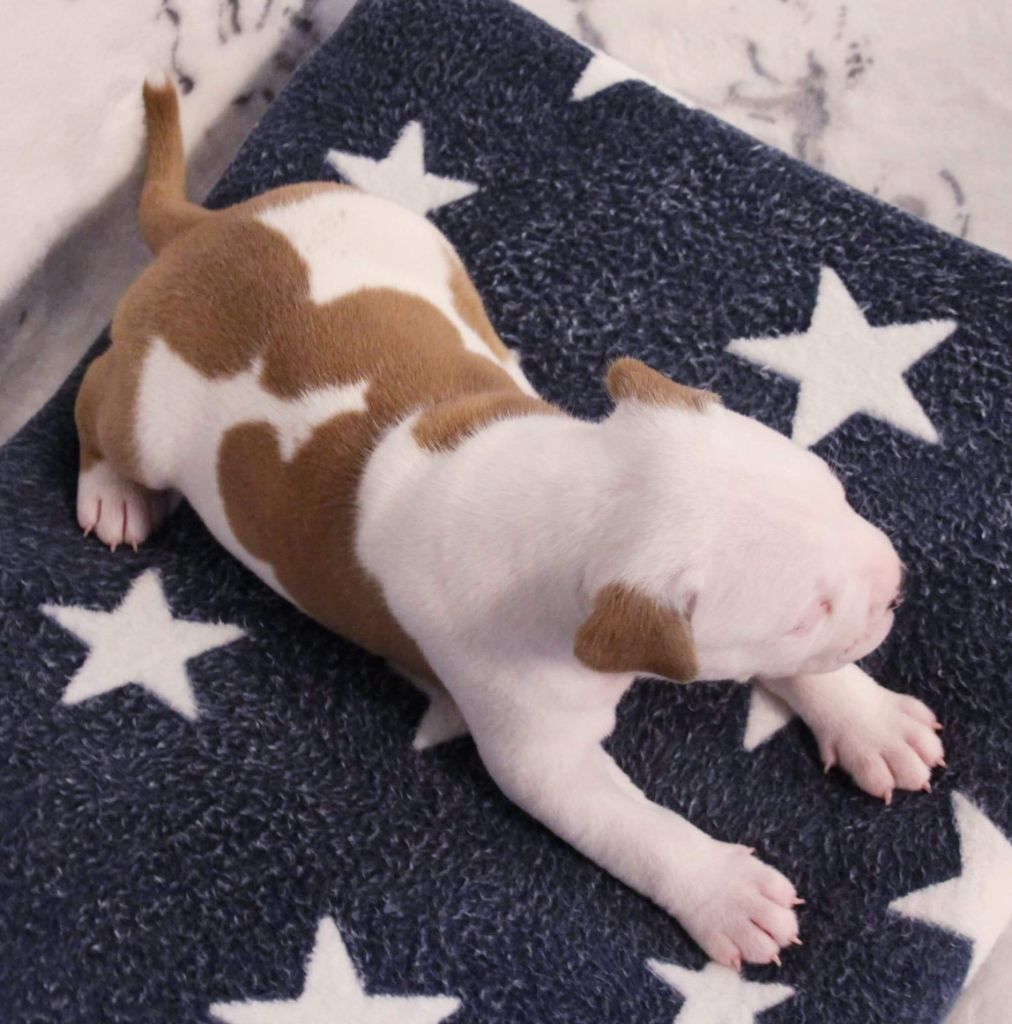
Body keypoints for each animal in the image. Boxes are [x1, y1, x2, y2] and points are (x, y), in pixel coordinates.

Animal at [74, 75, 944, 969]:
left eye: (839, 494)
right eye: (809, 610)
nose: (896, 584)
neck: (577, 493)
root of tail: (197, 230)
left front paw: (869, 720)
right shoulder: (544, 757)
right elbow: (633, 824)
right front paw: (725, 890)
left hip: (399, 232)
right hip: (143, 420)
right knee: (94, 401)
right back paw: (113, 491)